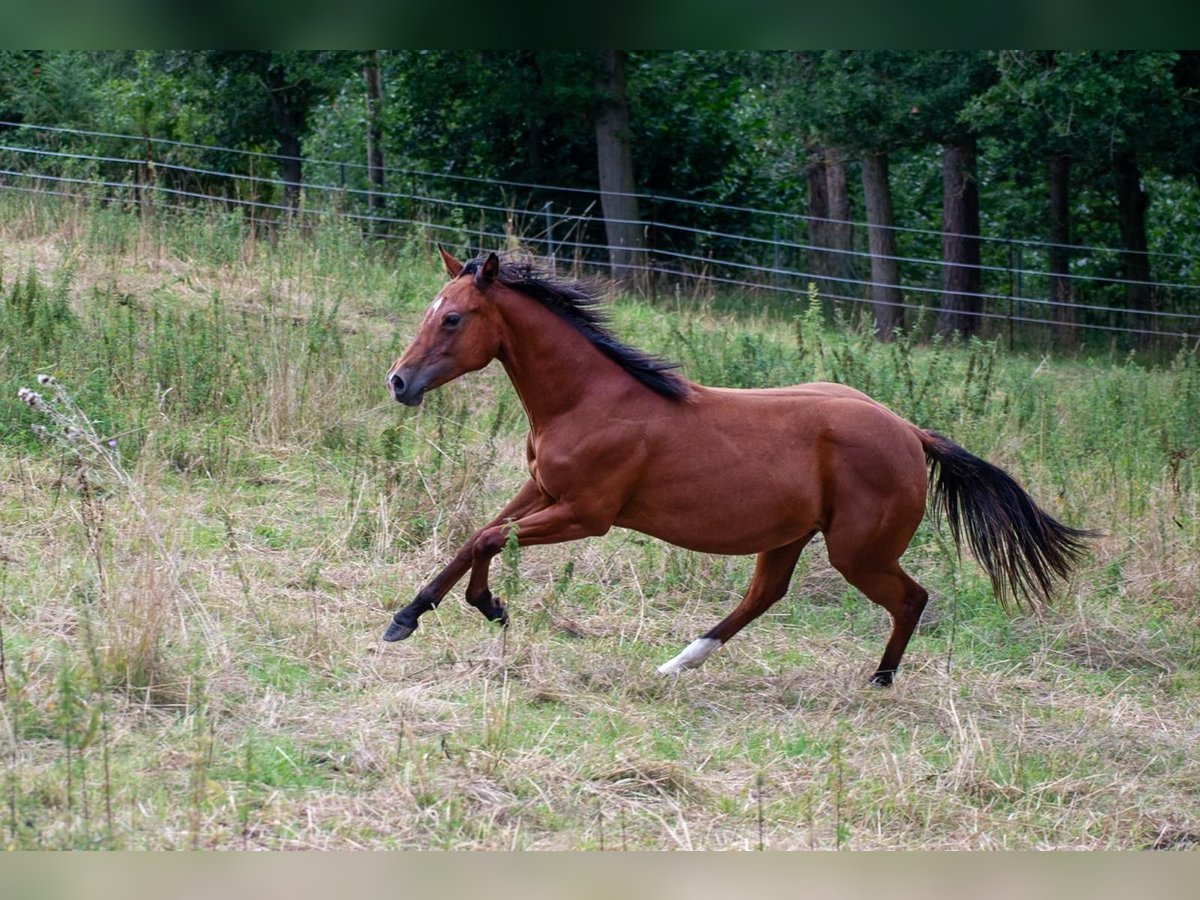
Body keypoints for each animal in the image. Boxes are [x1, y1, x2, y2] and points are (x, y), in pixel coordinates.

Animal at [382, 248, 1093, 685]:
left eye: (452, 318)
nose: (399, 382)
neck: (590, 397)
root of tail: (909, 431)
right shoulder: (541, 488)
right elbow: (477, 533)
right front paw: (409, 616)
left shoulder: (586, 514)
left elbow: (487, 538)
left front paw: (488, 606)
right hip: (789, 537)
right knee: (763, 597)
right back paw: (678, 664)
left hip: (857, 551)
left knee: (910, 598)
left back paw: (879, 680)